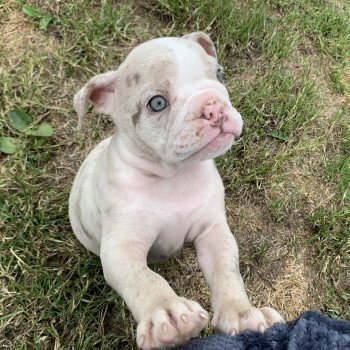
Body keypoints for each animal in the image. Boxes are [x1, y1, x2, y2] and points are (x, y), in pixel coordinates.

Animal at [69, 31, 284, 348]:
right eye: (158, 103)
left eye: (219, 74)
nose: (214, 107)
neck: (172, 176)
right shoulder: (122, 250)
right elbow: (144, 279)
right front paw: (167, 313)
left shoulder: (213, 233)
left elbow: (226, 270)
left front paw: (243, 314)